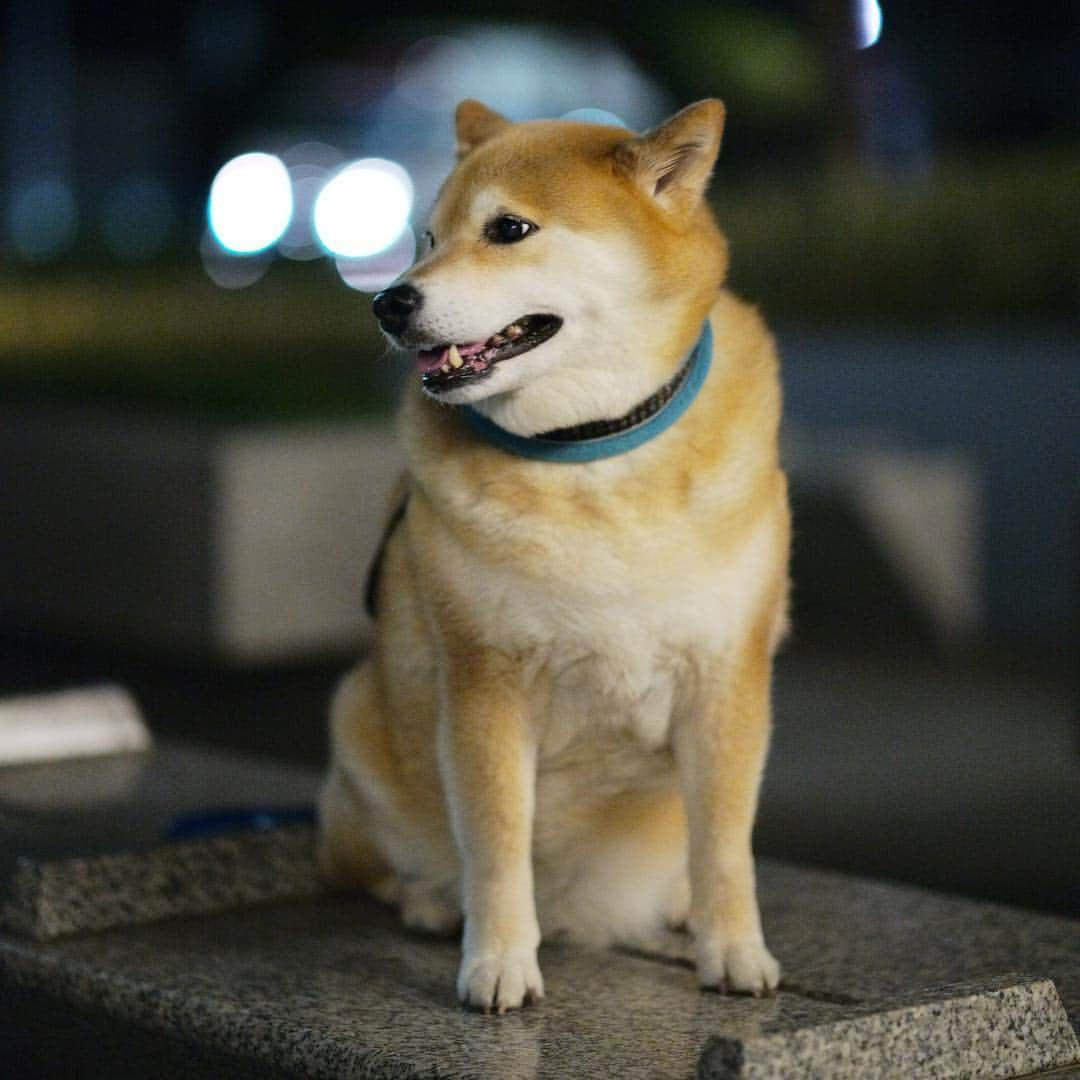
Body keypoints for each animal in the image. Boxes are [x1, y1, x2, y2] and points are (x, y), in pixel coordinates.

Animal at [315, 99, 790, 1010]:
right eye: (426, 237)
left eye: (508, 228)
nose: (389, 302)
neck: (593, 451)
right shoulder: (487, 683)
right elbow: (497, 843)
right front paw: (498, 961)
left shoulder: (727, 680)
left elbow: (725, 845)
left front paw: (734, 949)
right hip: (357, 721)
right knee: (375, 869)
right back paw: (432, 901)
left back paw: (676, 906)